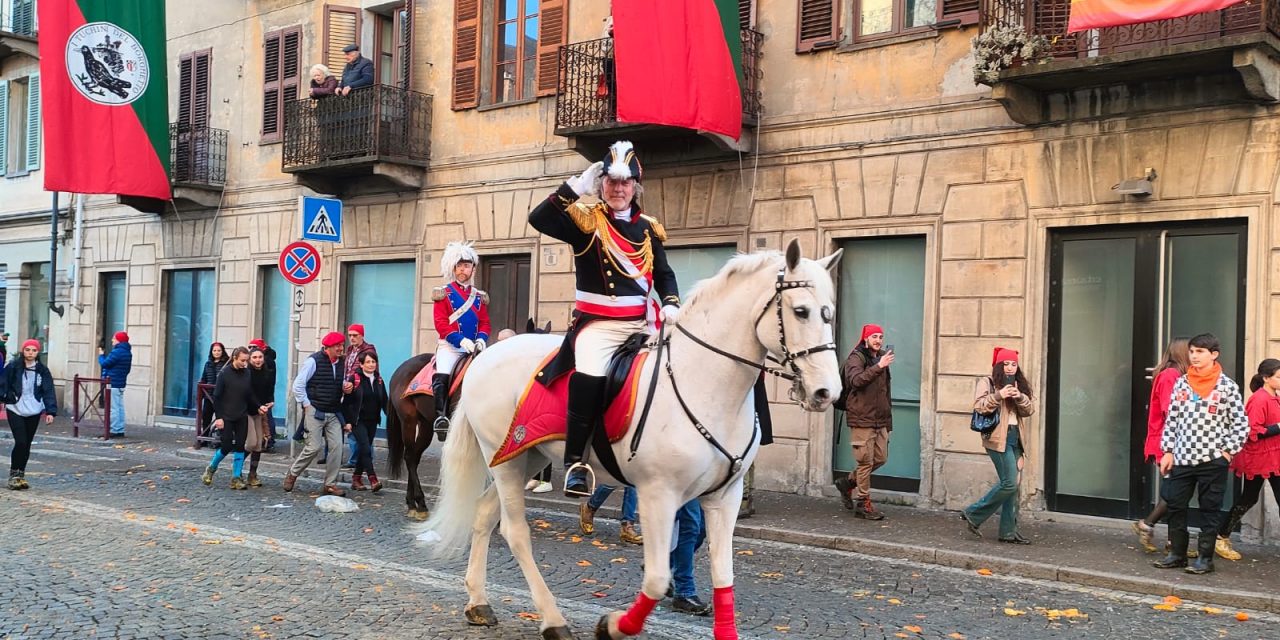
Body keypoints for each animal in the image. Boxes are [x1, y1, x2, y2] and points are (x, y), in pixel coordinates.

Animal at [386, 316, 552, 519]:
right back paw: (420, 503)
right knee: (409, 457)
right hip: (408, 421)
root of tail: (401, 369)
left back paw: (413, 503)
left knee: (414, 457)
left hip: (425, 425)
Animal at [414, 240, 844, 640]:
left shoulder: (725, 497)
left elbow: (724, 577)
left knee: (485, 514)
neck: (702, 379)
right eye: (801, 311)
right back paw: (553, 619)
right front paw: (612, 625)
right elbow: (655, 579)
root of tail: (484, 357)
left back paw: (478, 602)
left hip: (526, 456)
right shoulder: (658, 495)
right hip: (504, 460)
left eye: (830, 312)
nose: (827, 392)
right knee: (514, 531)